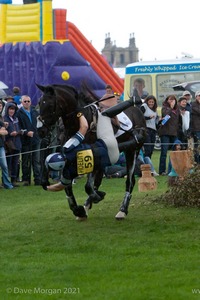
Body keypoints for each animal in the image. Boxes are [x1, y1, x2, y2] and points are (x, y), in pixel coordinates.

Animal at [36, 83, 146, 219]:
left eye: (50, 105)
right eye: (39, 103)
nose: (40, 130)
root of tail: (137, 111)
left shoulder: (91, 156)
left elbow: (87, 186)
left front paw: (94, 199)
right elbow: (68, 185)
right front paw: (79, 209)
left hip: (132, 151)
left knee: (129, 181)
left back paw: (122, 209)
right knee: (99, 180)